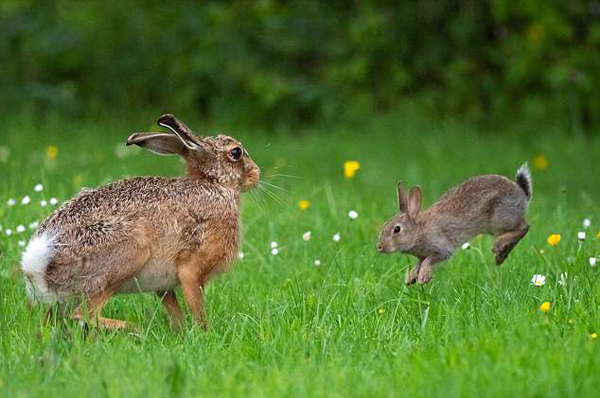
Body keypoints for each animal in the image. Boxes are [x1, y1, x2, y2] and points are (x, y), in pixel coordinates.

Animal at [20, 114, 260, 330]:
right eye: (236, 152)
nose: (257, 173)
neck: (213, 184)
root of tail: (39, 262)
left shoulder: (163, 285)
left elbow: (174, 309)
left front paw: (181, 334)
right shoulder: (191, 270)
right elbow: (196, 307)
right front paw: (203, 334)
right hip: (130, 251)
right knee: (84, 315)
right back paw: (133, 328)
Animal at [378, 163, 532, 284]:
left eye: (397, 229)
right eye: (384, 225)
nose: (379, 247)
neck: (418, 231)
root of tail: (522, 193)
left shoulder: (441, 248)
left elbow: (429, 260)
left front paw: (423, 277)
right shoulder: (421, 255)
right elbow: (419, 263)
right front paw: (410, 278)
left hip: (500, 219)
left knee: (524, 228)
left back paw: (499, 246)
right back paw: (501, 256)